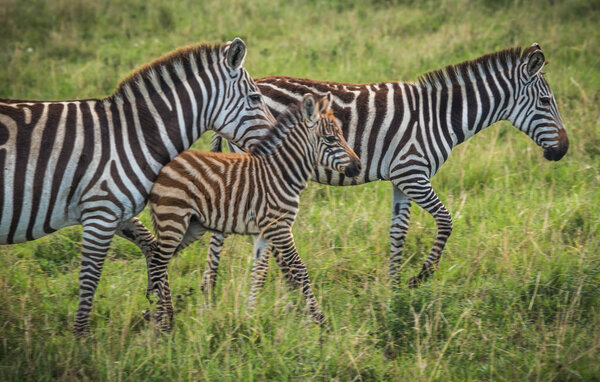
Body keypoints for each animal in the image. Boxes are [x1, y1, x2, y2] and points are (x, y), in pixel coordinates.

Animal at [145, 92, 360, 328]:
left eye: (341, 135)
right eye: (330, 139)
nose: (358, 167)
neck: (282, 173)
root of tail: (163, 166)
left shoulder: (264, 232)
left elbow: (259, 273)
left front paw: (248, 318)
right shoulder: (280, 227)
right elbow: (299, 269)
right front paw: (321, 320)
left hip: (192, 226)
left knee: (156, 256)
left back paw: (160, 312)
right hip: (174, 219)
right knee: (158, 262)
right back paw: (162, 322)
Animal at [204, 43, 568, 290]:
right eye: (546, 102)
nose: (563, 150)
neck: (440, 116)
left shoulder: (401, 180)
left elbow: (398, 231)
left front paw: (393, 287)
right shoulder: (413, 173)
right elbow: (446, 221)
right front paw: (420, 276)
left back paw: (213, 286)